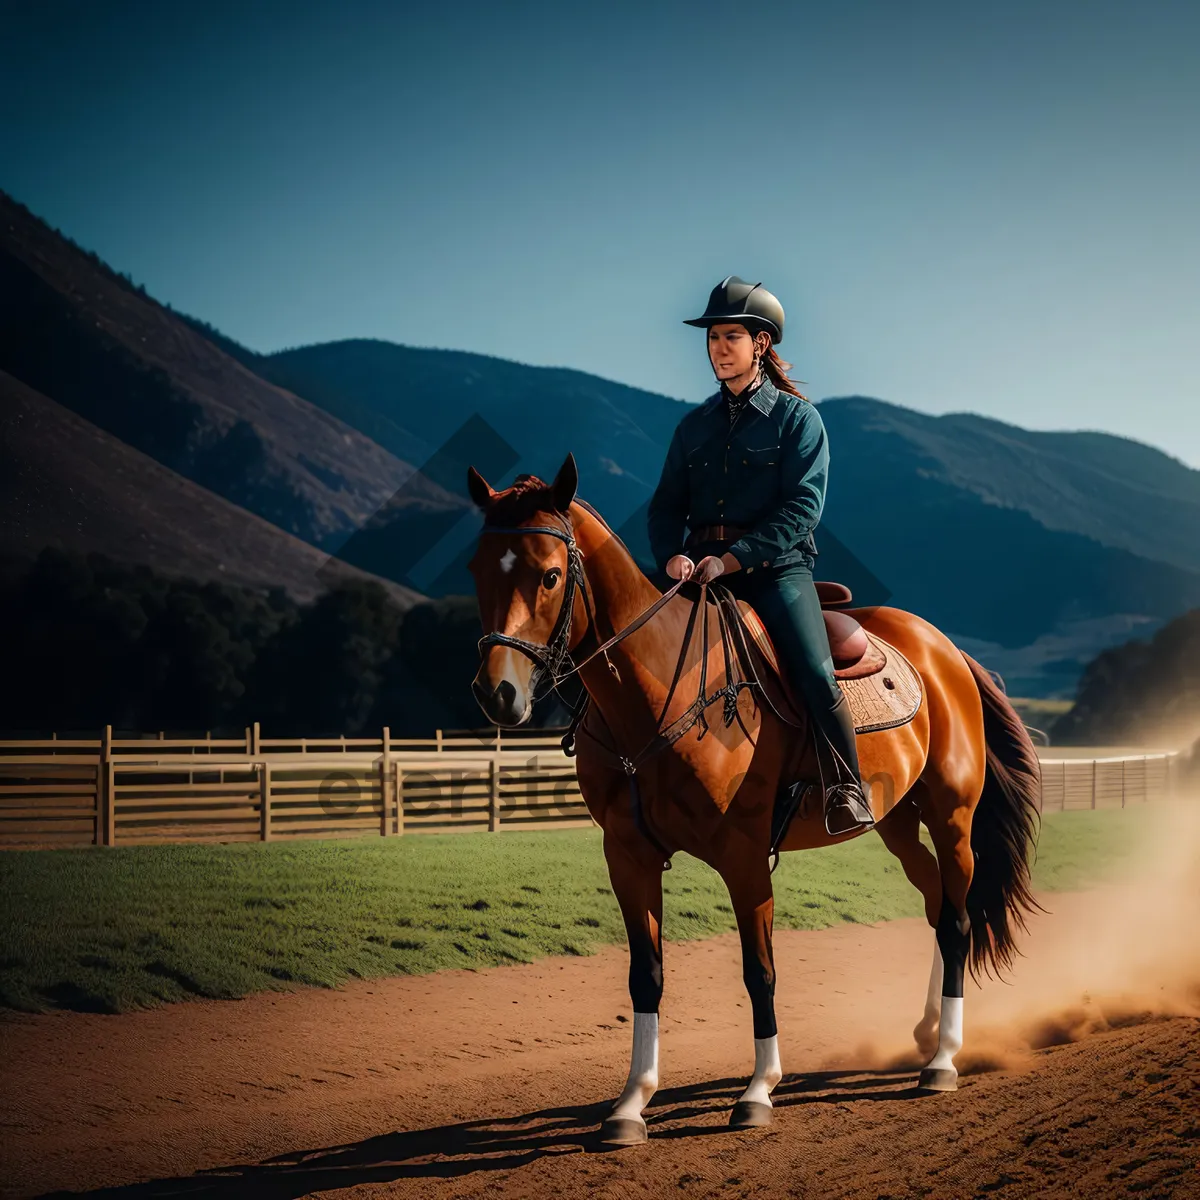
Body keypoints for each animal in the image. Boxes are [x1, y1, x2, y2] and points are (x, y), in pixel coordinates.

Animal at [463, 451, 1046, 1142]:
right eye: (477, 570)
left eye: (551, 575)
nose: (497, 693)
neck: (660, 696)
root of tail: (945, 649)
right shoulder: (628, 858)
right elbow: (646, 976)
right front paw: (631, 1103)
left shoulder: (743, 857)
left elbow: (758, 969)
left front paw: (759, 1090)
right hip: (897, 823)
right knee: (937, 905)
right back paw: (929, 1031)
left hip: (951, 816)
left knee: (956, 919)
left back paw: (944, 1059)